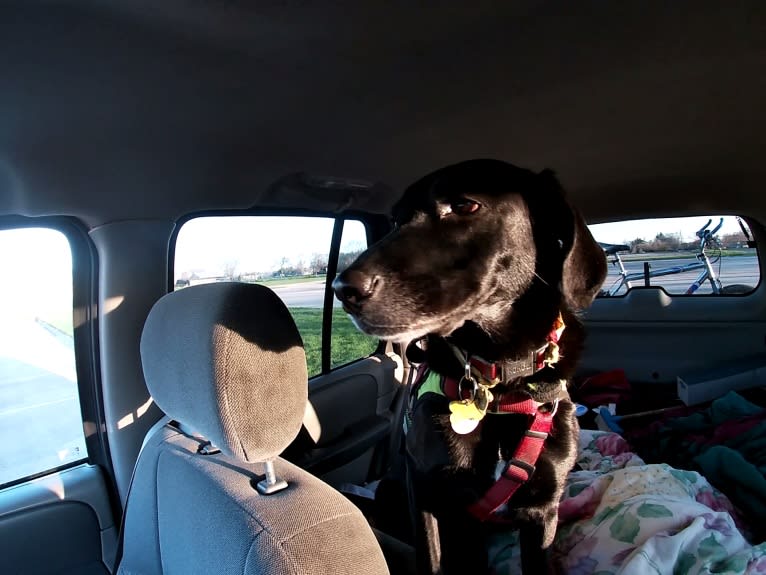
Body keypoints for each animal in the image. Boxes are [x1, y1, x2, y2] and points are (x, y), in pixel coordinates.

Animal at [334, 160, 608, 572]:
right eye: (395, 220)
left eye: (464, 205)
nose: (342, 289)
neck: (499, 383)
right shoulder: (426, 490)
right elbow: (431, 559)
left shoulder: (542, 507)